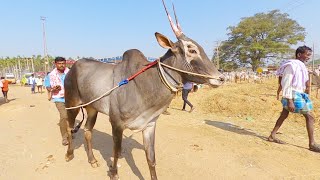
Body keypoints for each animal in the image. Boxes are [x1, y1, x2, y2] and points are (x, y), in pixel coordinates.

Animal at [63, 1, 225, 179]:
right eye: (192, 50)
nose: (221, 78)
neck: (144, 86)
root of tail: (72, 67)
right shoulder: (116, 123)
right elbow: (116, 152)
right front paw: (113, 172)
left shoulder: (149, 125)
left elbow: (151, 159)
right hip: (72, 104)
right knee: (69, 127)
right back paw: (69, 154)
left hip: (92, 108)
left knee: (87, 131)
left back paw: (92, 160)